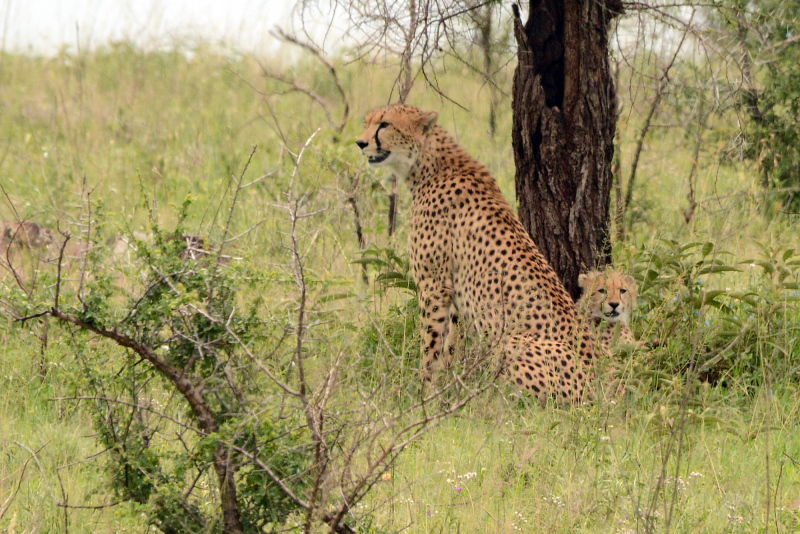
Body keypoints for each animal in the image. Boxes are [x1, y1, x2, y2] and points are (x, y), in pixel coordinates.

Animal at [360, 104, 604, 404]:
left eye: (385, 124)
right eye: (368, 122)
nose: (360, 142)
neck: (430, 164)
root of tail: (603, 390)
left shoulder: (434, 285)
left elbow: (430, 345)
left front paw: (422, 393)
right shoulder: (455, 295)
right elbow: (450, 347)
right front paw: (445, 390)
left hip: (511, 342)